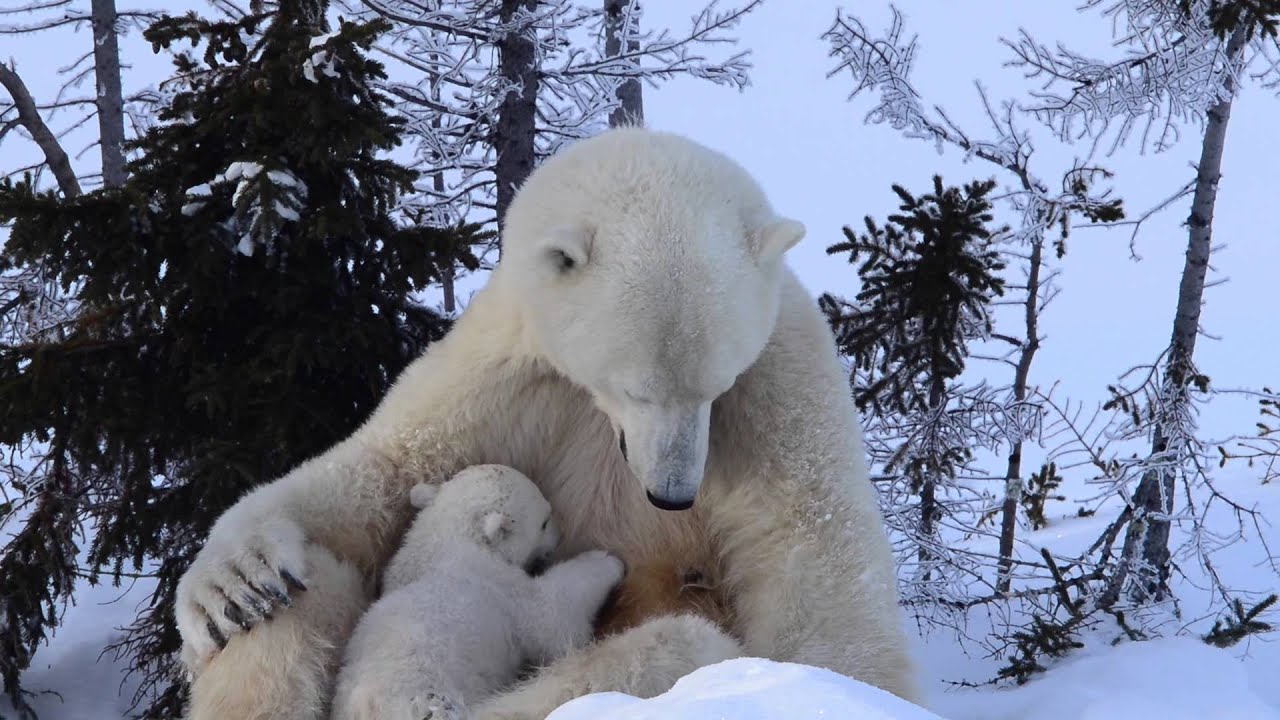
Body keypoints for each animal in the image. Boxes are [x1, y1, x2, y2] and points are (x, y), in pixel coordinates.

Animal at [330, 465, 626, 720]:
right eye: (544, 521)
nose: (559, 536)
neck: (445, 538)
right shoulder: (493, 581)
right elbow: (548, 611)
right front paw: (608, 562)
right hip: (432, 694)